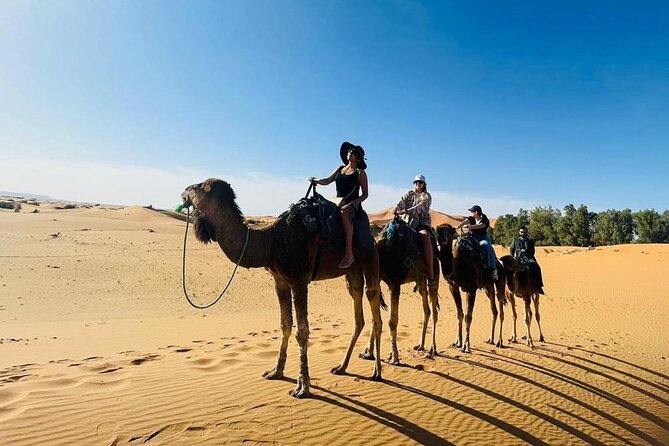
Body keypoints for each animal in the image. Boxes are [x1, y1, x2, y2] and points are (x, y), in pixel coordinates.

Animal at [181, 179, 383, 398]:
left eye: (198, 186)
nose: (183, 191)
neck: (271, 241)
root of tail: (373, 237)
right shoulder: (280, 281)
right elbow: (285, 324)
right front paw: (276, 371)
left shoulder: (299, 281)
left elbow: (302, 332)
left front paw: (303, 386)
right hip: (352, 272)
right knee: (358, 313)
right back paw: (341, 367)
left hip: (371, 260)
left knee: (375, 311)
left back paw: (377, 372)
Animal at [361, 218, 440, 364]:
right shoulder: (377, 281)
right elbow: (374, 318)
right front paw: (367, 352)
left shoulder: (395, 284)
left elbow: (392, 321)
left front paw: (394, 357)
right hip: (420, 278)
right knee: (426, 308)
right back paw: (420, 345)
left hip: (434, 270)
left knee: (434, 307)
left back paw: (433, 348)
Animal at [436, 224, 507, 353]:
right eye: (438, 230)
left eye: (450, 232)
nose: (443, 239)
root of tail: (499, 263)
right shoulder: (453, 287)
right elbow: (459, 313)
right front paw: (457, 342)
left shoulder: (471, 289)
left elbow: (468, 317)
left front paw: (466, 346)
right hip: (488, 287)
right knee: (494, 310)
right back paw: (490, 339)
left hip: (500, 281)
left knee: (501, 309)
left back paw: (500, 341)